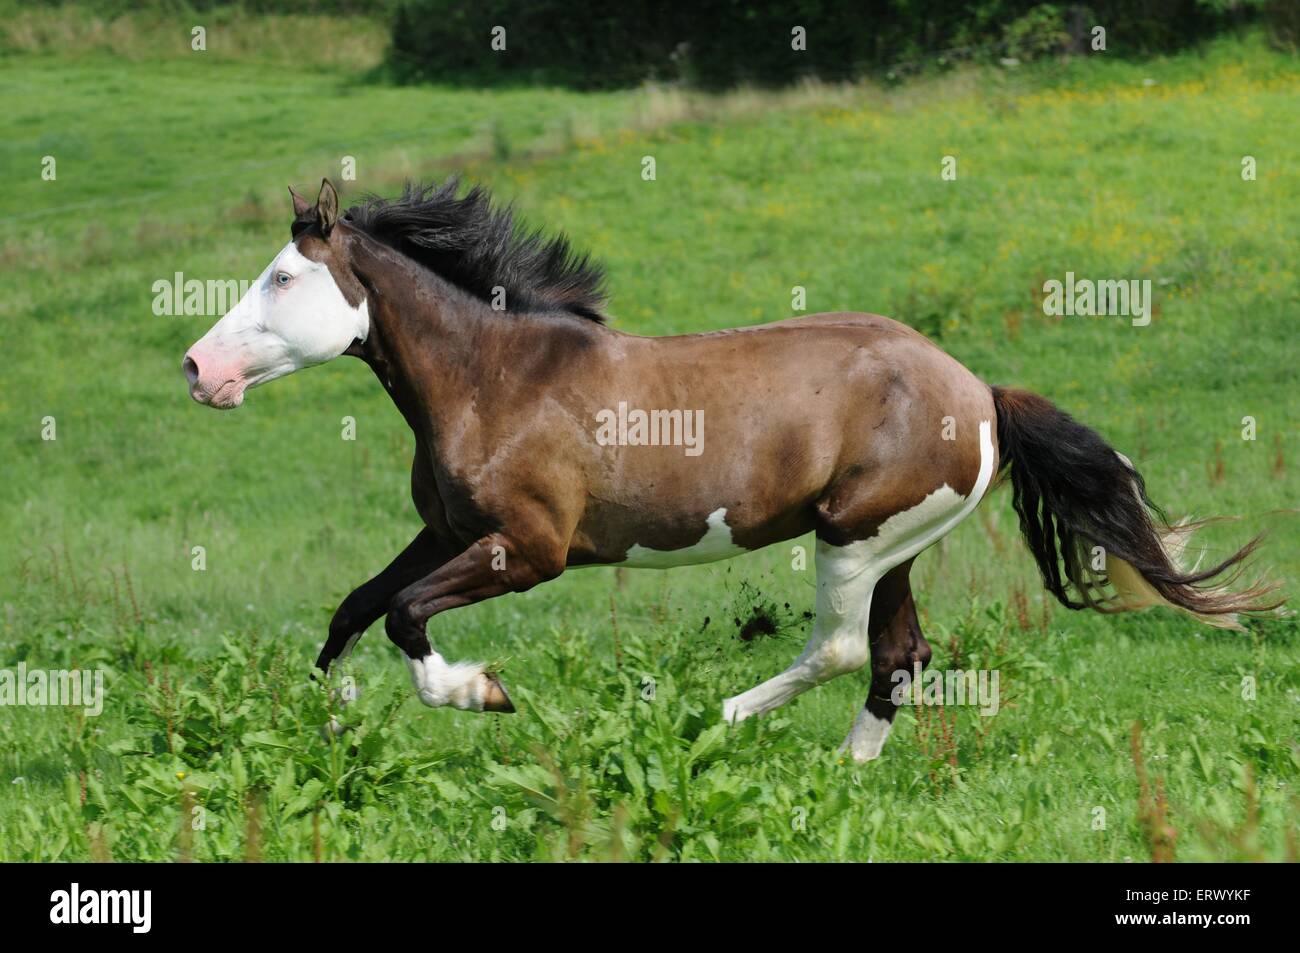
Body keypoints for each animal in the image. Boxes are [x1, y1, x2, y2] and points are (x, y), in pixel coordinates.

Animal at [182, 178, 1279, 762]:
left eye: (284, 277)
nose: (199, 369)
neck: (496, 380)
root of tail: (976, 391)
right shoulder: (448, 529)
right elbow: (353, 609)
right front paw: (320, 722)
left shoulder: (529, 549)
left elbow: (407, 615)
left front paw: (483, 692)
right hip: (895, 545)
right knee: (900, 653)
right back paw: (845, 772)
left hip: (853, 537)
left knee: (842, 648)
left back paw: (712, 720)